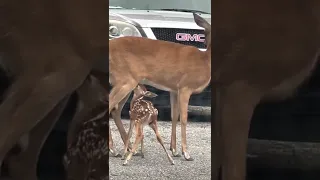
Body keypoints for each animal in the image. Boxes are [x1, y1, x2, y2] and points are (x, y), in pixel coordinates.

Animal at [109, 13, 211, 161]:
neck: (205, 61)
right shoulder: (185, 87)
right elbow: (184, 118)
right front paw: (186, 153)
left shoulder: (174, 89)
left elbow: (174, 116)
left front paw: (174, 150)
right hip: (125, 80)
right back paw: (113, 149)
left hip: (126, 82)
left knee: (115, 110)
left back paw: (127, 148)